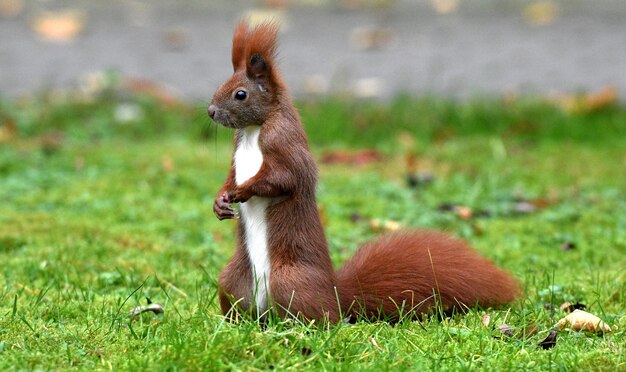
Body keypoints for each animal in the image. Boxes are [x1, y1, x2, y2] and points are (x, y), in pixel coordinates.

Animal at [206, 21, 516, 322]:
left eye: (240, 94)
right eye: (222, 84)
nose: (210, 111)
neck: (253, 130)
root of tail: (336, 296)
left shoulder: (285, 145)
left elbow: (282, 179)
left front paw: (242, 190)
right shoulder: (237, 154)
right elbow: (230, 175)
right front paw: (220, 200)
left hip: (290, 282)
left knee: (323, 319)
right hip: (233, 281)